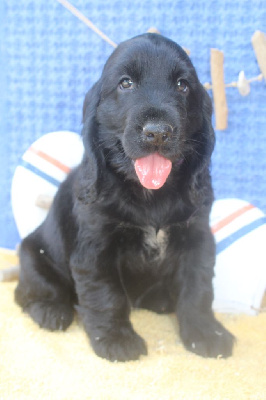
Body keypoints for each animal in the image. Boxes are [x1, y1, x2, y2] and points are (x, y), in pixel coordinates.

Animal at [15, 32, 234, 360]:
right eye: (126, 83)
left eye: (183, 85)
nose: (158, 132)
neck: (150, 195)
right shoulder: (95, 248)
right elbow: (107, 294)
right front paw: (116, 339)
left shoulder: (197, 237)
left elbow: (198, 288)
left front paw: (206, 333)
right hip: (32, 253)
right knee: (27, 291)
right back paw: (50, 310)